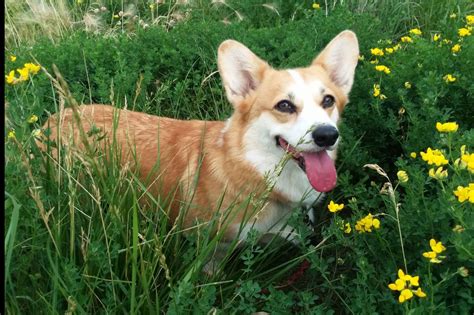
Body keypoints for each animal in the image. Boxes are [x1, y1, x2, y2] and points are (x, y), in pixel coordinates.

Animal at [41, 30, 360, 268]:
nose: (327, 135)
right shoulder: (212, 249)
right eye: (284, 105)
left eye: (328, 101)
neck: (255, 172)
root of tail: (52, 120)